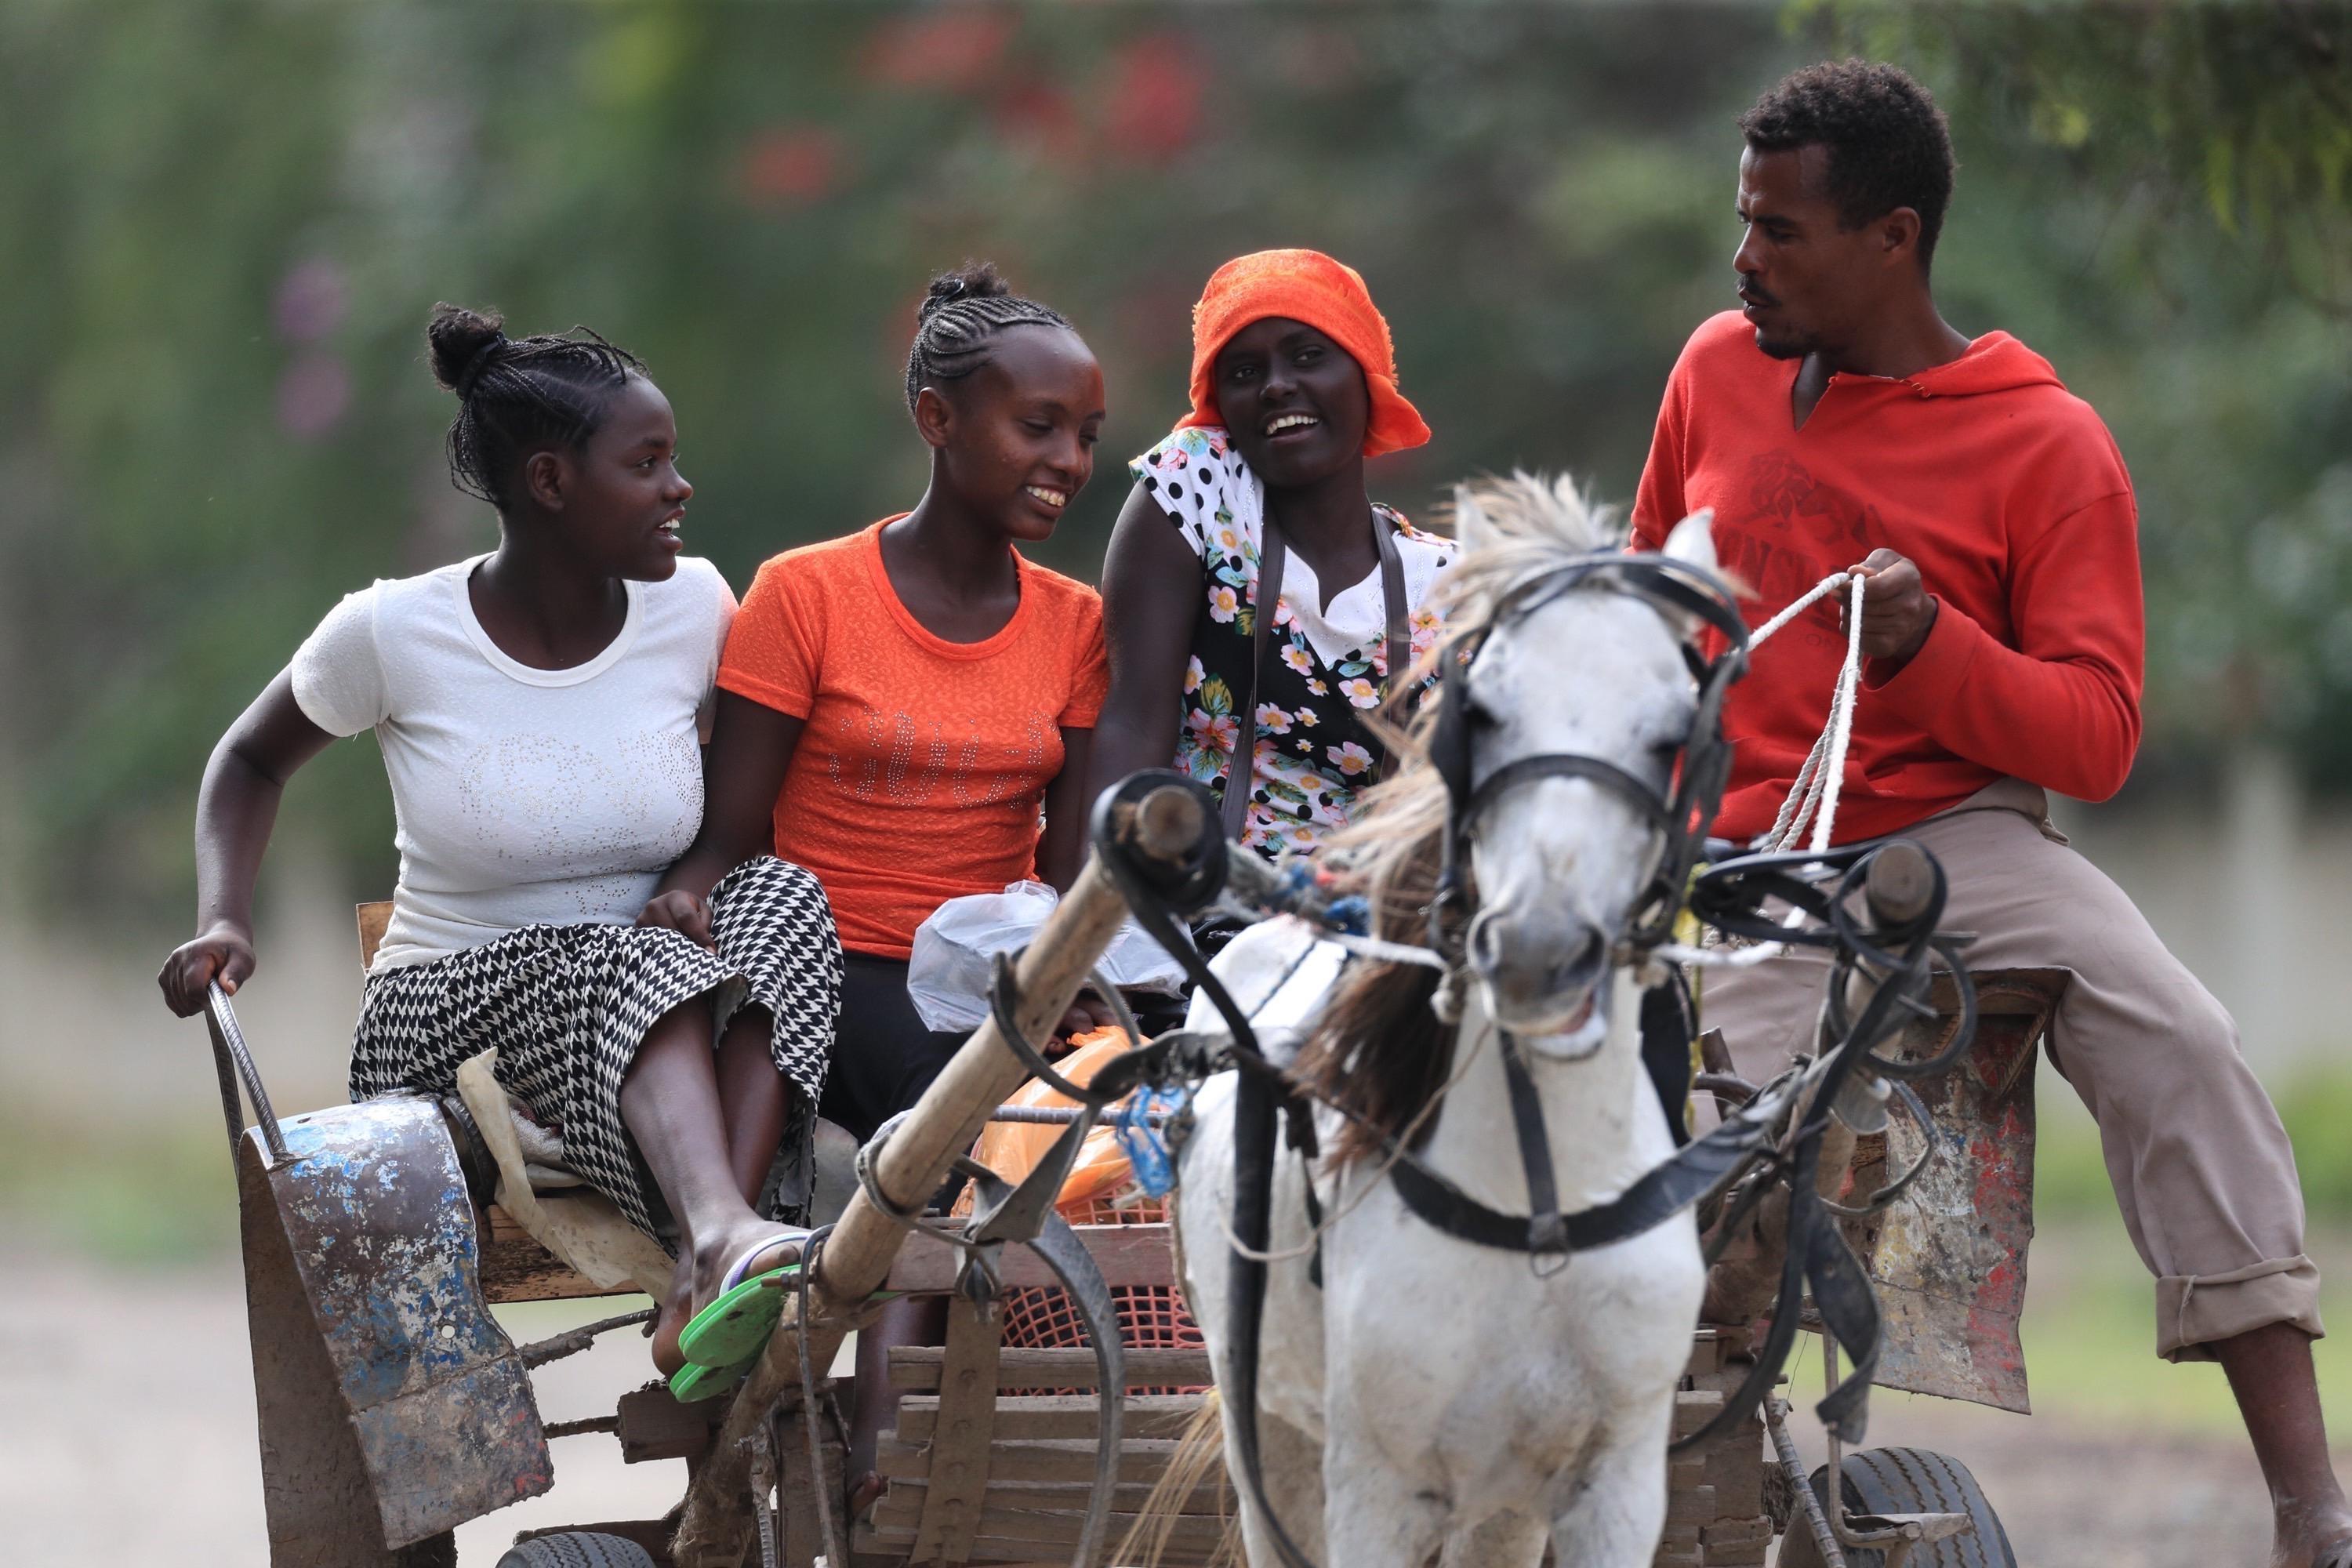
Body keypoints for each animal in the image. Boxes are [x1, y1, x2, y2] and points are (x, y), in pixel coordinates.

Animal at [1176, 479, 1731, 1568]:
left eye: (1672, 731)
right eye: (1480, 712)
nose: (1539, 951)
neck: (1537, 1204)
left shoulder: (1617, 1482)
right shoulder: (1374, 1489)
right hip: (1262, 1426)